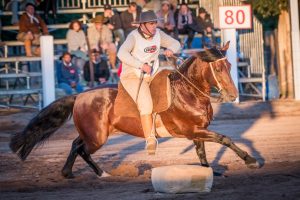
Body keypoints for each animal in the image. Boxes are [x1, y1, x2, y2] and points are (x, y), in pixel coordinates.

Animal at [9, 42, 260, 178]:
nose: (233, 95)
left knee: (74, 145)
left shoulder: (198, 132)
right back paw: (101, 173)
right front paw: (250, 160)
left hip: (92, 134)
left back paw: (68, 173)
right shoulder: (192, 131)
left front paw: (210, 172)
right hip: (97, 138)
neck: (187, 92)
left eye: (229, 65)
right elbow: (224, 139)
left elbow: (202, 155)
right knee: (82, 150)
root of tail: (79, 95)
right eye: (217, 68)